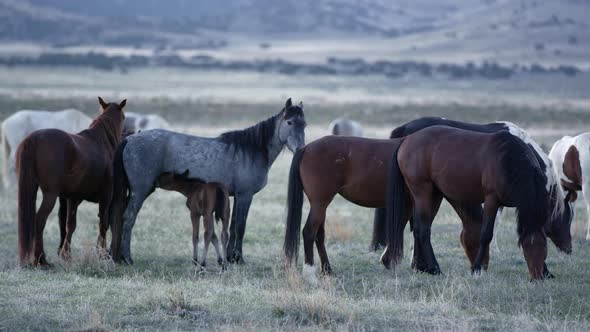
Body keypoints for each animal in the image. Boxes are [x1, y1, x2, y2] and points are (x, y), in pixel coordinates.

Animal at [17, 97, 126, 266]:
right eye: (124, 118)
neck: (101, 142)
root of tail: (34, 139)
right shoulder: (106, 196)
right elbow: (103, 223)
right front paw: (101, 254)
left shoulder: (73, 198)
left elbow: (70, 225)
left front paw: (66, 255)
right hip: (50, 195)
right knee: (39, 220)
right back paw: (41, 259)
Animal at [109, 98, 310, 264]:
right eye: (289, 122)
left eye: (304, 124)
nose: (301, 149)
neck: (251, 151)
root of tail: (130, 138)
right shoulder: (245, 195)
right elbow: (240, 226)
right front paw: (239, 258)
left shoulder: (237, 196)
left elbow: (233, 225)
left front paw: (230, 257)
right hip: (140, 191)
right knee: (128, 218)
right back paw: (127, 258)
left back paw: (117, 255)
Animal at [284, 136, 404, 284]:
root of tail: (306, 148)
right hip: (319, 204)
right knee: (309, 232)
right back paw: (310, 276)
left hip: (320, 206)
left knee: (319, 234)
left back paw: (327, 270)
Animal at [384, 126, 572, 278]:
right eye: (526, 247)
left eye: (544, 248)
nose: (538, 276)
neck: (508, 161)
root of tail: (406, 140)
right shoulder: (491, 200)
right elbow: (486, 234)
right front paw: (476, 268)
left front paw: (548, 271)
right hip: (422, 191)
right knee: (423, 229)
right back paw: (435, 268)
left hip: (435, 194)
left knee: (419, 228)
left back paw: (424, 268)